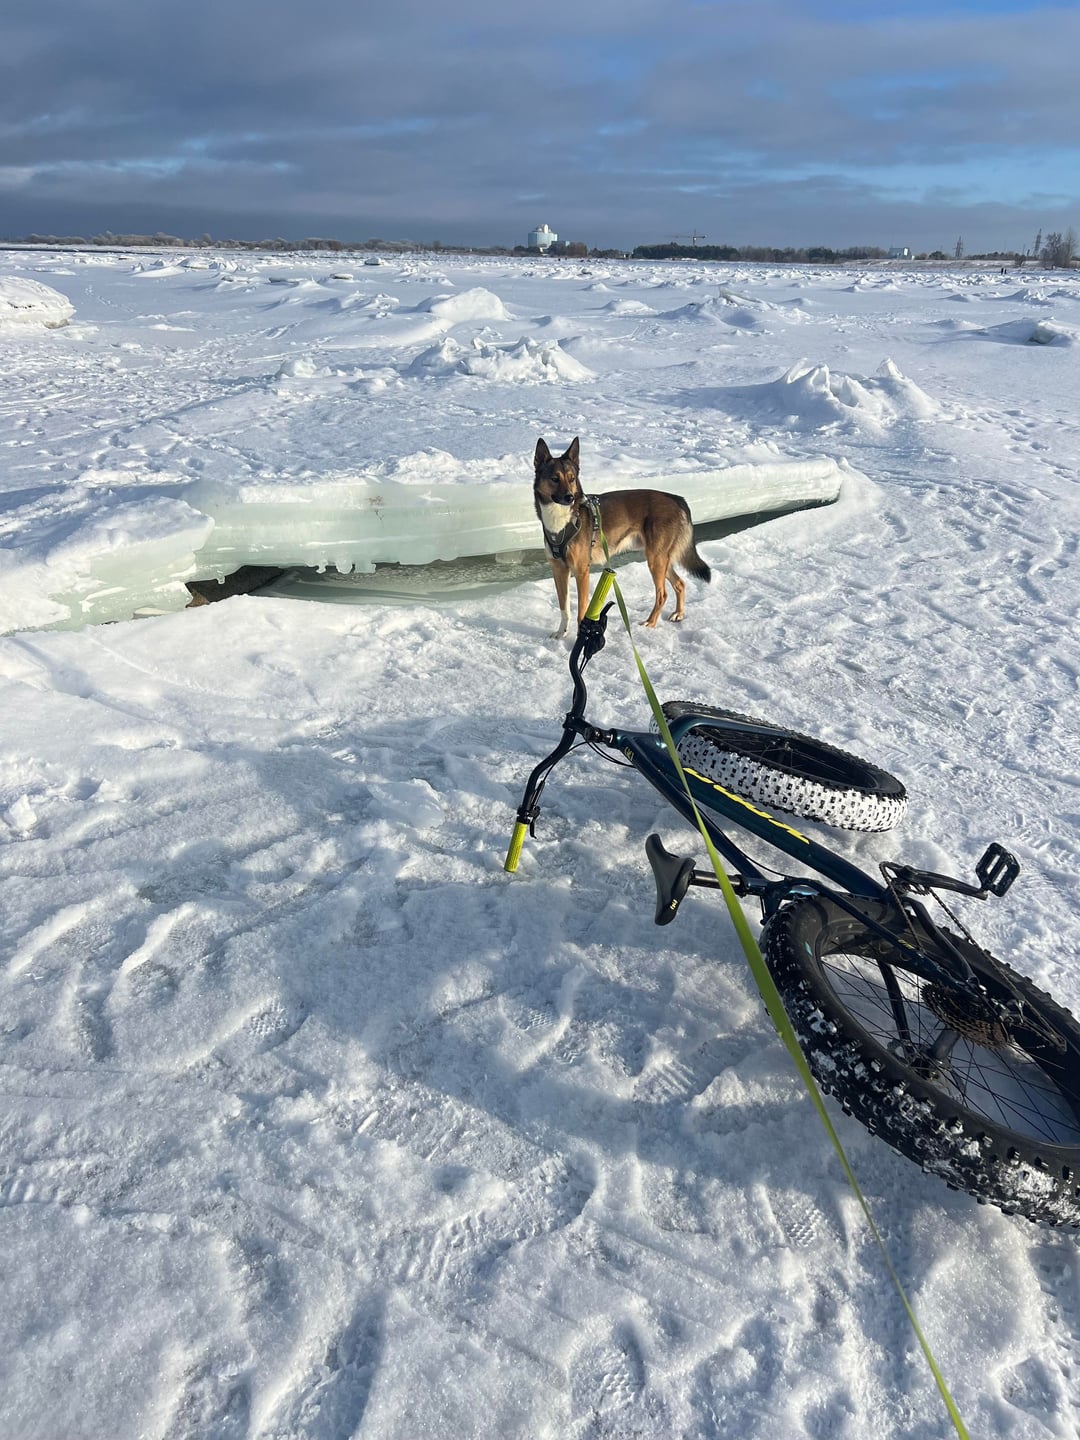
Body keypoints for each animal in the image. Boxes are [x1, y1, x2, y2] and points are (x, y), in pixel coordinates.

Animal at [533, 437, 711, 638]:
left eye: (571, 479)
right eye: (555, 479)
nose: (570, 497)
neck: (561, 521)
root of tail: (677, 499)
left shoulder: (581, 572)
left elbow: (581, 611)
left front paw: (580, 639)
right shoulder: (559, 570)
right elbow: (564, 608)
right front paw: (561, 633)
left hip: (655, 560)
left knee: (662, 594)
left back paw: (650, 623)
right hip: (661, 559)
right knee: (680, 584)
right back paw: (678, 614)